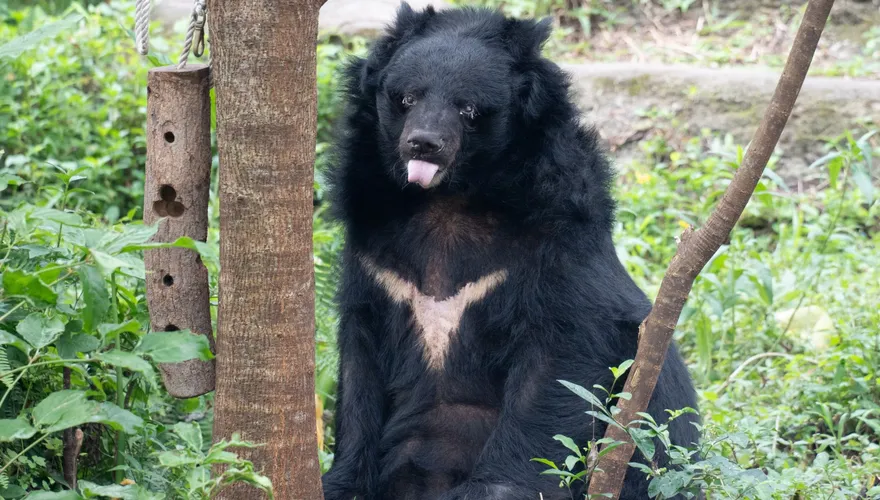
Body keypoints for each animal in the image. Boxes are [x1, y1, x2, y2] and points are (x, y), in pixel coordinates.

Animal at [320, 4, 700, 500]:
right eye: (406, 98)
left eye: (467, 108)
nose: (423, 143)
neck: (446, 199)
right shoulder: (374, 257)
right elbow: (360, 368)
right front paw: (342, 481)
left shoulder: (555, 245)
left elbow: (558, 361)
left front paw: (494, 488)